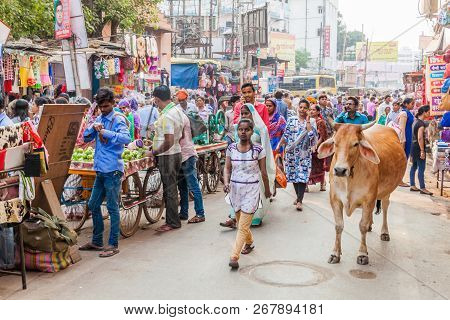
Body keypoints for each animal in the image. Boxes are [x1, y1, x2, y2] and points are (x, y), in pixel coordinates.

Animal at [316, 120, 408, 264]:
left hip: (387, 192)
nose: (340, 170)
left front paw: (363, 254)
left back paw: (384, 232)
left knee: (385, 208)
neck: (350, 178)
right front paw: (335, 253)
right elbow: (339, 226)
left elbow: (362, 226)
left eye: (355, 144)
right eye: (335, 142)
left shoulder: (368, 200)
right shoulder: (335, 199)